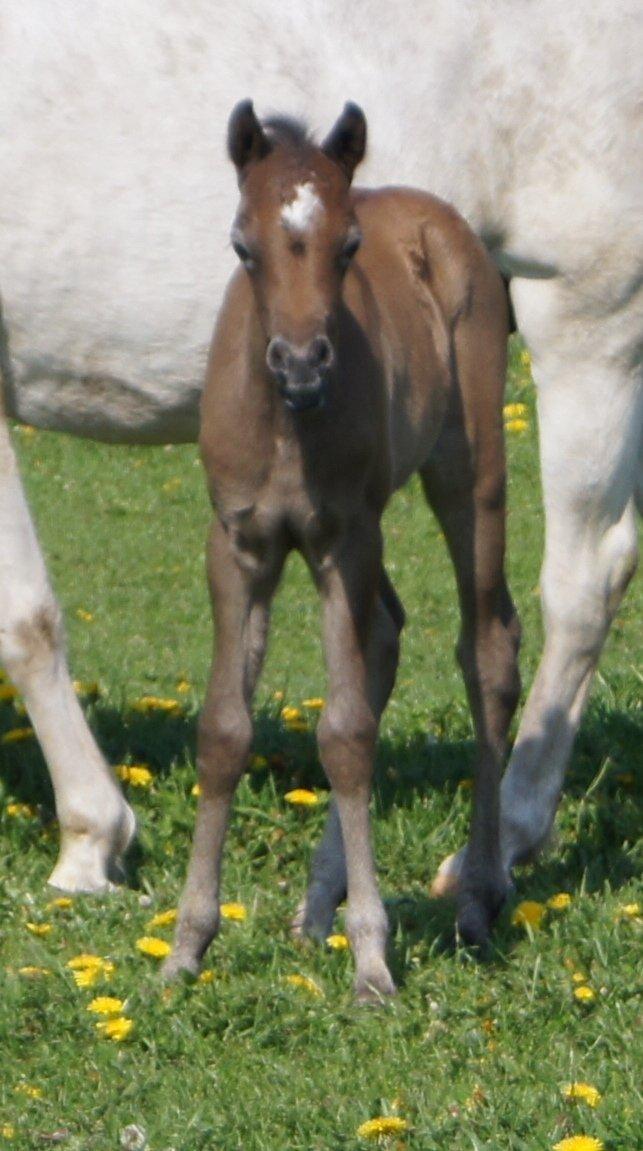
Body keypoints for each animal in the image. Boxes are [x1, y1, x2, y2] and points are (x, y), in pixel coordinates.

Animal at [162, 101, 520, 998]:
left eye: (349, 247)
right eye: (241, 244)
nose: (299, 363)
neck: (287, 424)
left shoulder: (342, 539)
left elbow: (348, 735)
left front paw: (371, 961)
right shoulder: (239, 545)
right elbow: (223, 730)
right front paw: (185, 946)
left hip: (469, 472)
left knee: (488, 647)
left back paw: (475, 898)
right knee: (387, 631)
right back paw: (320, 902)